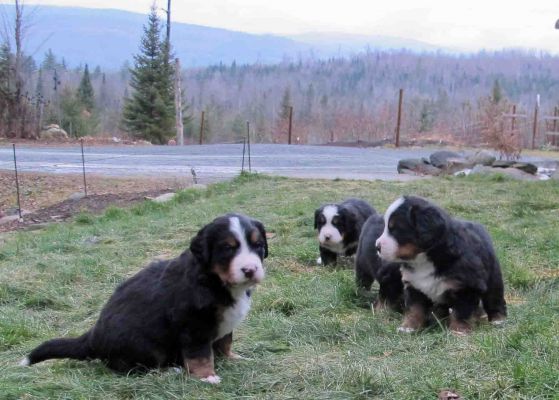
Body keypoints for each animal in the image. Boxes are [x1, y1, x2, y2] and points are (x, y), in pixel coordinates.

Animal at [19, 212, 270, 384]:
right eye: (228, 248)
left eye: (258, 245)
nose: (250, 269)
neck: (214, 280)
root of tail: (92, 336)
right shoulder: (193, 325)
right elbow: (200, 355)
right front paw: (207, 377)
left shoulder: (224, 324)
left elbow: (225, 342)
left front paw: (234, 358)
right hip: (146, 346)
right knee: (133, 368)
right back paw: (169, 370)